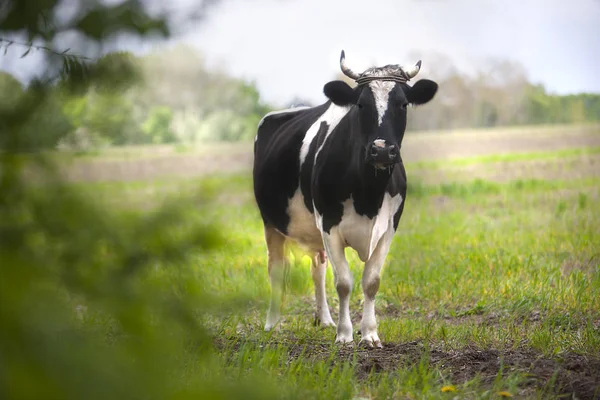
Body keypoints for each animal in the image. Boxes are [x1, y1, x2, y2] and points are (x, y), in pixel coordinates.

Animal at [251, 50, 438, 346]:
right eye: (361, 104)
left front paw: (370, 333)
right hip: (271, 222)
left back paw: (324, 319)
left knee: (317, 268)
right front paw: (344, 334)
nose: (381, 150)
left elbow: (371, 281)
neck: (368, 196)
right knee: (276, 268)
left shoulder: (389, 227)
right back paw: (273, 323)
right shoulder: (329, 225)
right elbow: (344, 282)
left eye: (403, 104)